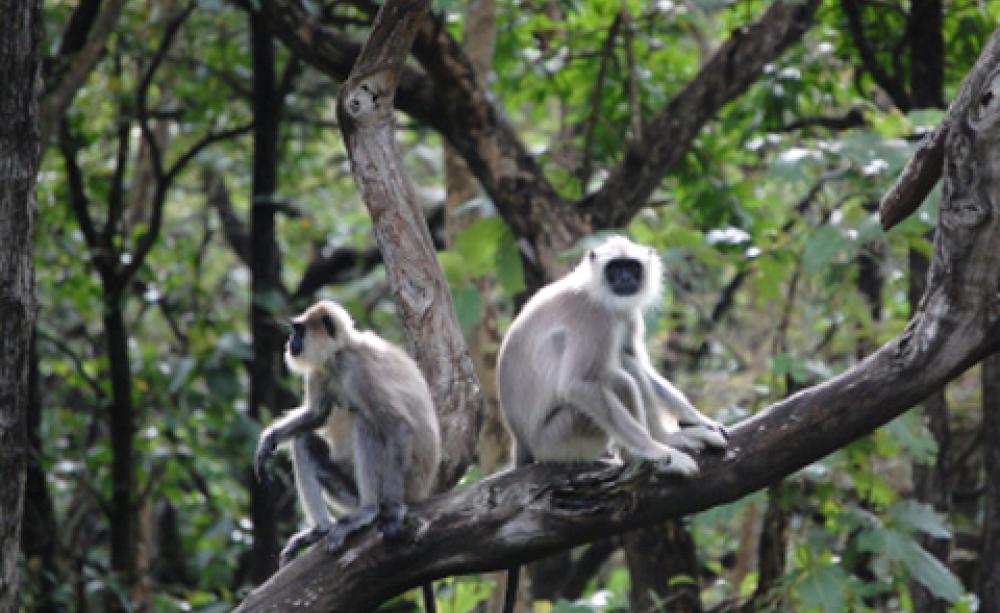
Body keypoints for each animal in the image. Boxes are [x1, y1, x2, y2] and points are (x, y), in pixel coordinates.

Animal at [254, 300, 441, 609]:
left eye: (299, 331)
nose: (290, 342)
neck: (340, 351)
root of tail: (425, 488)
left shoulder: (356, 367)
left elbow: (398, 426)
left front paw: (392, 513)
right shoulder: (321, 371)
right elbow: (316, 416)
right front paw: (268, 440)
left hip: (408, 482)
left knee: (367, 421)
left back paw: (370, 510)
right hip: (346, 490)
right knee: (303, 441)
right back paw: (320, 530)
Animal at [496, 235, 728, 613]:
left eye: (631, 267)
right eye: (614, 268)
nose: (624, 280)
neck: (597, 291)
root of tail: (522, 440)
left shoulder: (624, 313)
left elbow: (635, 358)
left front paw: (695, 419)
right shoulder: (594, 317)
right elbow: (578, 385)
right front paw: (656, 453)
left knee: (626, 366)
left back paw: (670, 439)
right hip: (561, 438)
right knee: (615, 378)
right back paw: (645, 454)